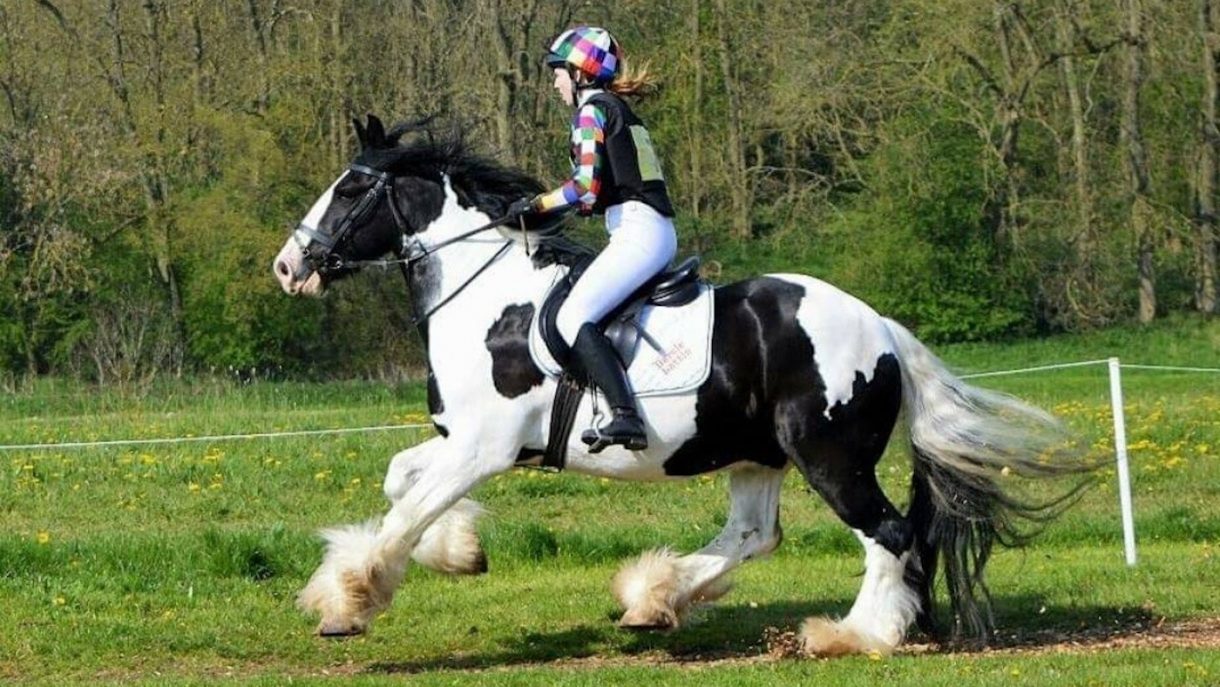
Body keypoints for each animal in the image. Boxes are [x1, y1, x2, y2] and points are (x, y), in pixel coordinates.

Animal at [272, 114, 1087, 656]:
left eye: (350, 188)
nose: (288, 266)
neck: (486, 301)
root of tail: (883, 328)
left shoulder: (484, 446)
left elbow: (406, 512)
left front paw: (348, 599)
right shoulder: (461, 441)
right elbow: (400, 480)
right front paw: (460, 551)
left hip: (828, 455)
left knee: (887, 533)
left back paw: (853, 634)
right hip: (758, 454)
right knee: (756, 534)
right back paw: (654, 598)